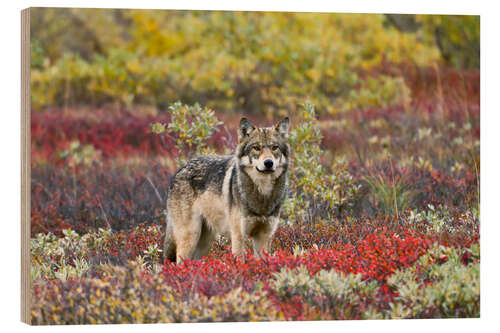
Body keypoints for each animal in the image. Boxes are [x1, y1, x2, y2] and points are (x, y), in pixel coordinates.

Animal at [164, 116, 290, 262]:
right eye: (256, 148)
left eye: (275, 147)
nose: (268, 163)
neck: (263, 194)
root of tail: (179, 170)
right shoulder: (238, 236)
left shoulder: (264, 237)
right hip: (190, 237)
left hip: (204, 244)